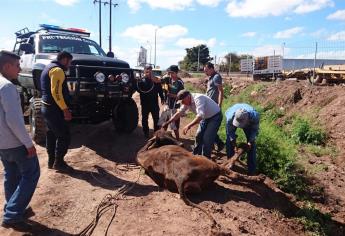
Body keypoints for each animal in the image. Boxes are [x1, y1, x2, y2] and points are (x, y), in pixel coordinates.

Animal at [135, 130, 264, 233]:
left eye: (170, 133)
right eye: (163, 138)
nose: (181, 144)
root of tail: (180, 177)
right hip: (208, 162)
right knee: (230, 170)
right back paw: (257, 174)